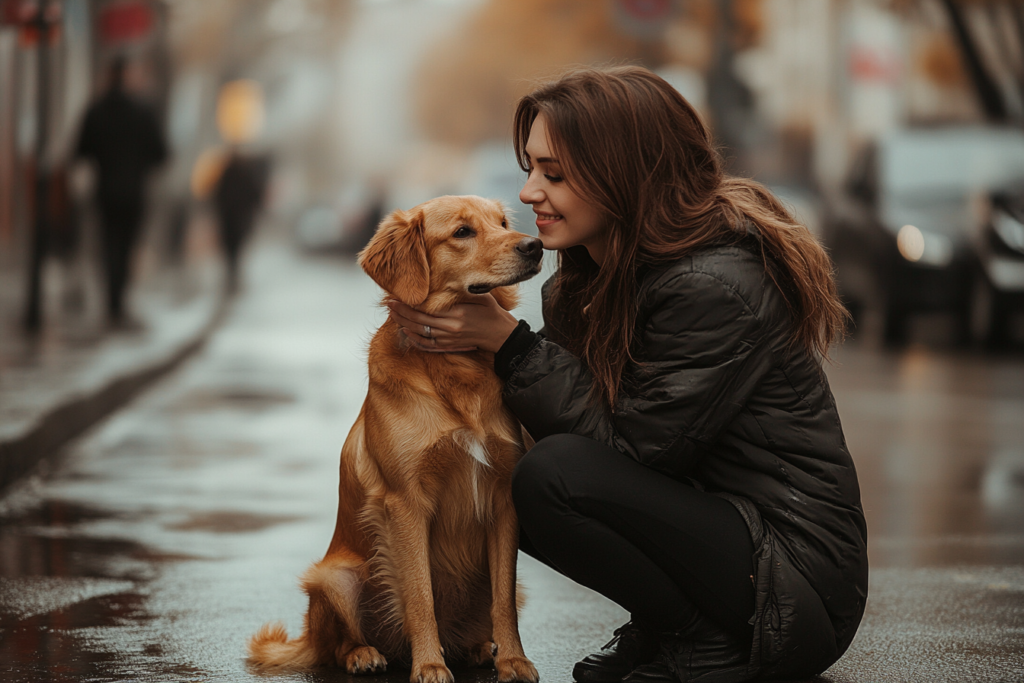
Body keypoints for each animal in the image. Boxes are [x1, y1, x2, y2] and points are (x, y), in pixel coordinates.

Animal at [246, 196, 544, 683]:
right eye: (463, 232)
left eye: (502, 223)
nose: (535, 246)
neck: (458, 367)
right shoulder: (405, 502)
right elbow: (419, 596)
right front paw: (429, 665)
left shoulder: (504, 498)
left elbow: (503, 600)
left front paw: (513, 660)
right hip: (334, 579)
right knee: (337, 644)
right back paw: (364, 654)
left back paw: (478, 648)